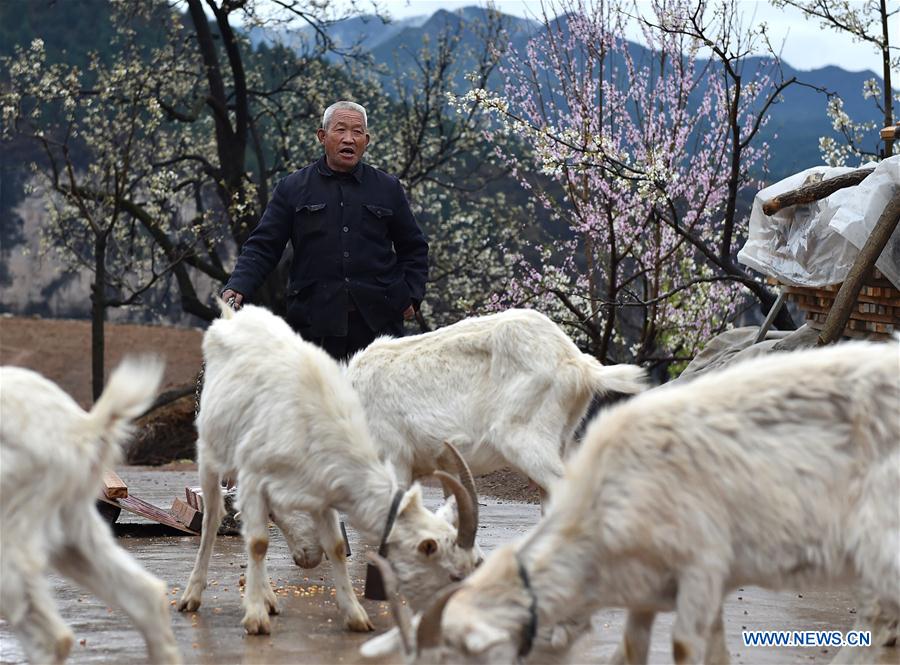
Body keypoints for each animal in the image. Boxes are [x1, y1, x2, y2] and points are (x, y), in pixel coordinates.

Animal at [178, 302, 482, 632]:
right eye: (454, 575)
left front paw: (356, 616)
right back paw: (192, 596)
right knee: (212, 519)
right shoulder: (254, 477)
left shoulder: (323, 488)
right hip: (210, 454)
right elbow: (258, 542)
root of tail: (232, 317)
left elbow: (335, 545)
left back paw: (269, 598)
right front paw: (256, 619)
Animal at [278, 306, 644, 572]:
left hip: (524, 439)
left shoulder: (393, 457)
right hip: (563, 438)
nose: (305, 559)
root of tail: (578, 363)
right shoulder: (444, 462)